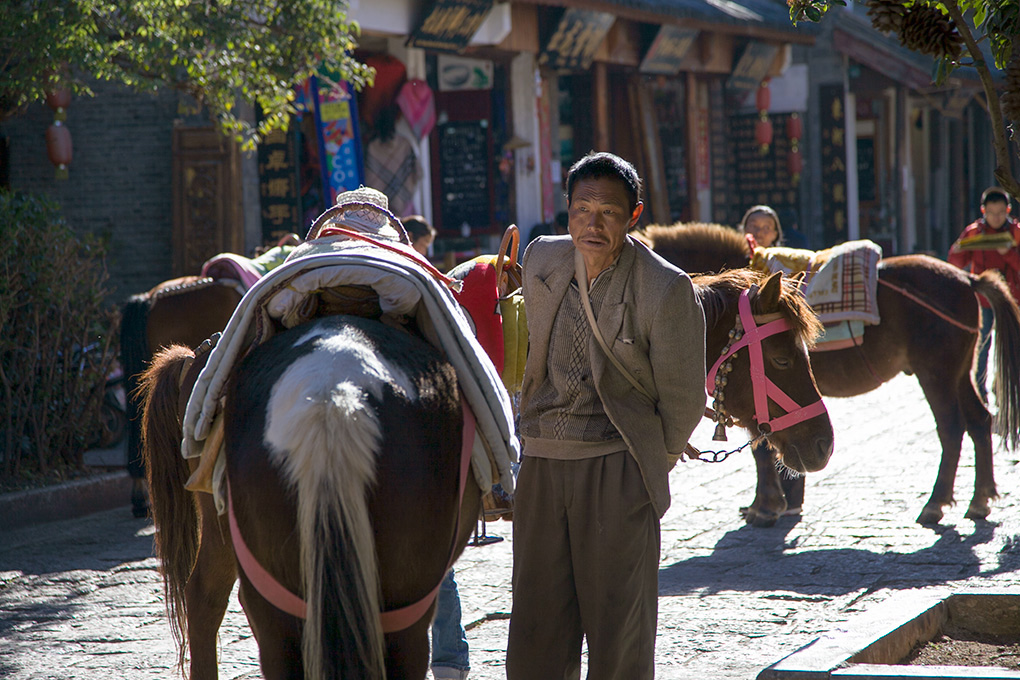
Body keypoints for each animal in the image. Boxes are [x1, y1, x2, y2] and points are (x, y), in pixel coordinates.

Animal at [636, 223, 1020, 526]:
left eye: (783, 359)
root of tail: (967, 277)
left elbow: (762, 451)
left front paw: (767, 507)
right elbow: (768, 447)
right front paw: (781, 502)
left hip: (935, 374)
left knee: (952, 429)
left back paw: (935, 504)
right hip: (960, 371)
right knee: (980, 421)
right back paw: (980, 498)